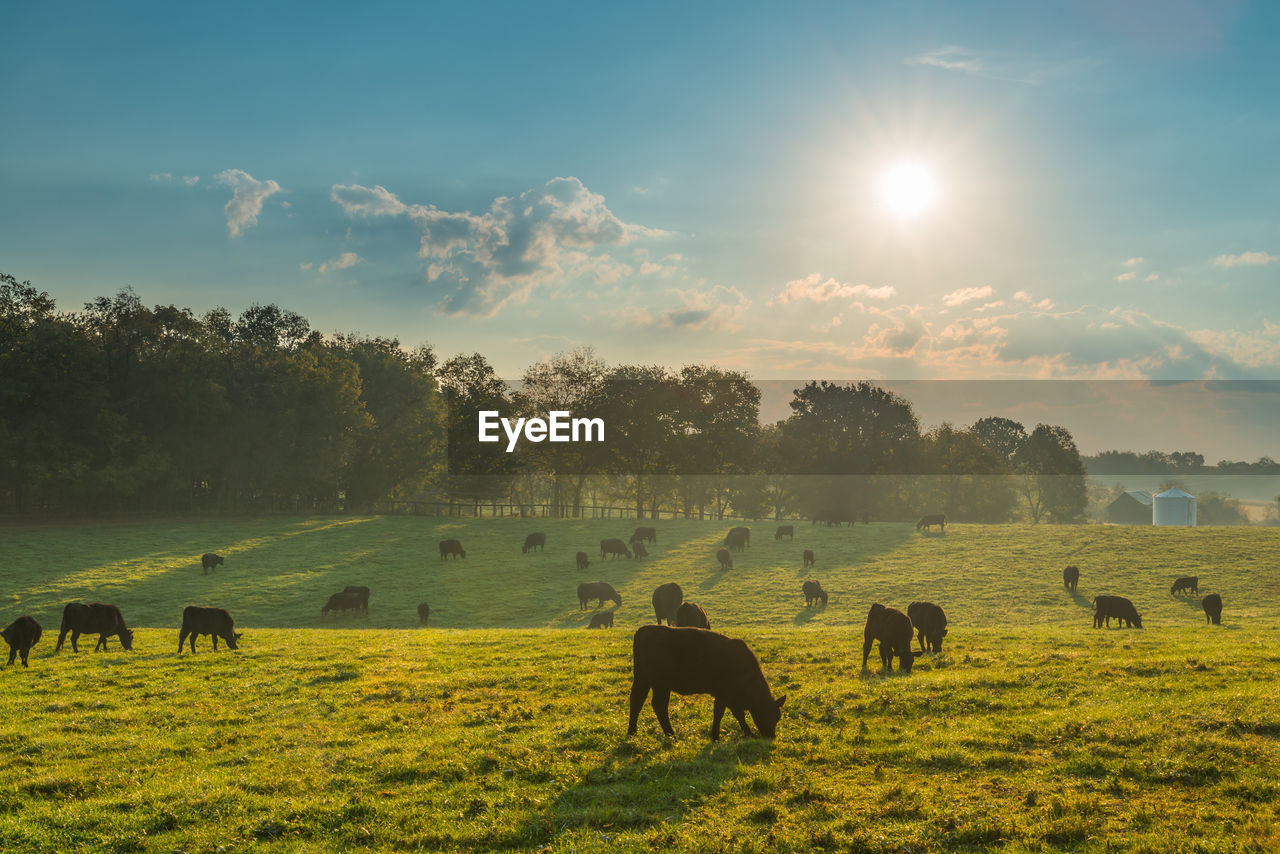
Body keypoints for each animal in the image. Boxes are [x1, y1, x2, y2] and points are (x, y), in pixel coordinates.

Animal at [624, 627, 783, 742]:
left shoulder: (731, 698)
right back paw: (671, 734)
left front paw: (747, 733)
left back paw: (632, 733)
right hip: (660, 684)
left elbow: (739, 715)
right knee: (658, 705)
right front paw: (716, 737)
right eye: (771, 715)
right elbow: (720, 713)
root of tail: (644, 630)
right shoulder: (723, 694)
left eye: (778, 717)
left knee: (636, 701)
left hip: (642, 679)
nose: (771, 736)